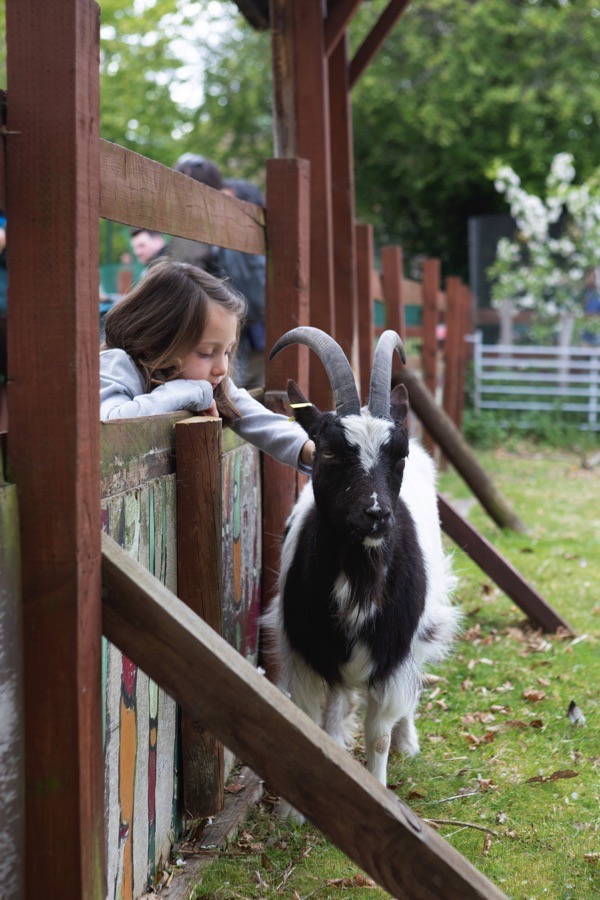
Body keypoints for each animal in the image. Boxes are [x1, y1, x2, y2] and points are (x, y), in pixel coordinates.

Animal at [262, 327, 461, 811]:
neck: (360, 581)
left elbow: (378, 737)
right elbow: (310, 724)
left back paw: (409, 741)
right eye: (330, 452)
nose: (376, 515)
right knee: (336, 710)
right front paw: (291, 812)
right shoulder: (306, 652)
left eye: (399, 456)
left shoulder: (393, 654)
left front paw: (379, 787)